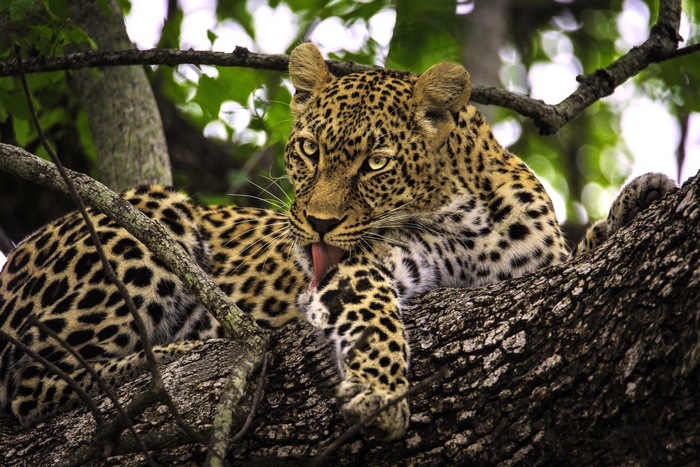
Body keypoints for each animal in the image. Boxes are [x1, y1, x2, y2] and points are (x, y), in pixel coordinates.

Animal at [0, 43, 677, 441]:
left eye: (375, 162)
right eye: (308, 149)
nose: (318, 225)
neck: (467, 221)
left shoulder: (538, 267)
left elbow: (580, 253)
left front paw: (637, 201)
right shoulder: (361, 267)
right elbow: (374, 311)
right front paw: (380, 393)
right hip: (146, 214)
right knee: (30, 382)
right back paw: (173, 354)